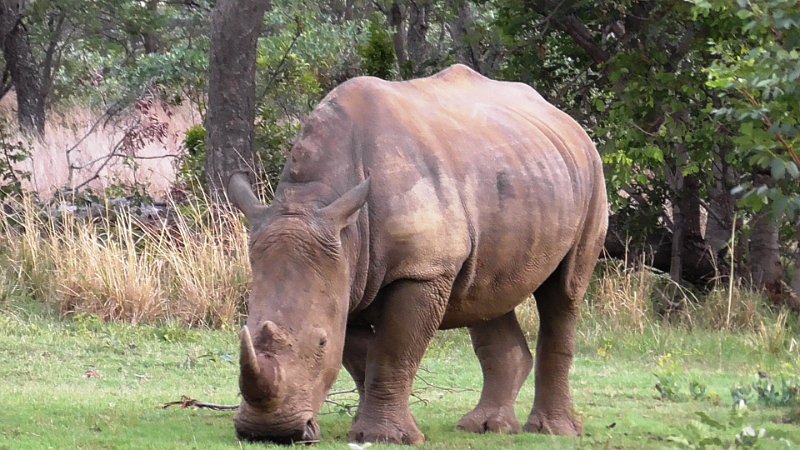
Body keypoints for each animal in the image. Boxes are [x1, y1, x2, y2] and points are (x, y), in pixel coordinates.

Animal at [228, 64, 608, 445]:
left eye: (321, 343)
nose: (270, 432)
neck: (314, 203)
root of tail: (565, 120)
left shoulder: (422, 269)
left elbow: (393, 352)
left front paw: (385, 437)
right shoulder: (347, 274)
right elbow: (362, 358)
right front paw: (370, 431)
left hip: (591, 174)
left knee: (564, 293)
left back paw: (553, 431)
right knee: (488, 293)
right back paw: (486, 427)